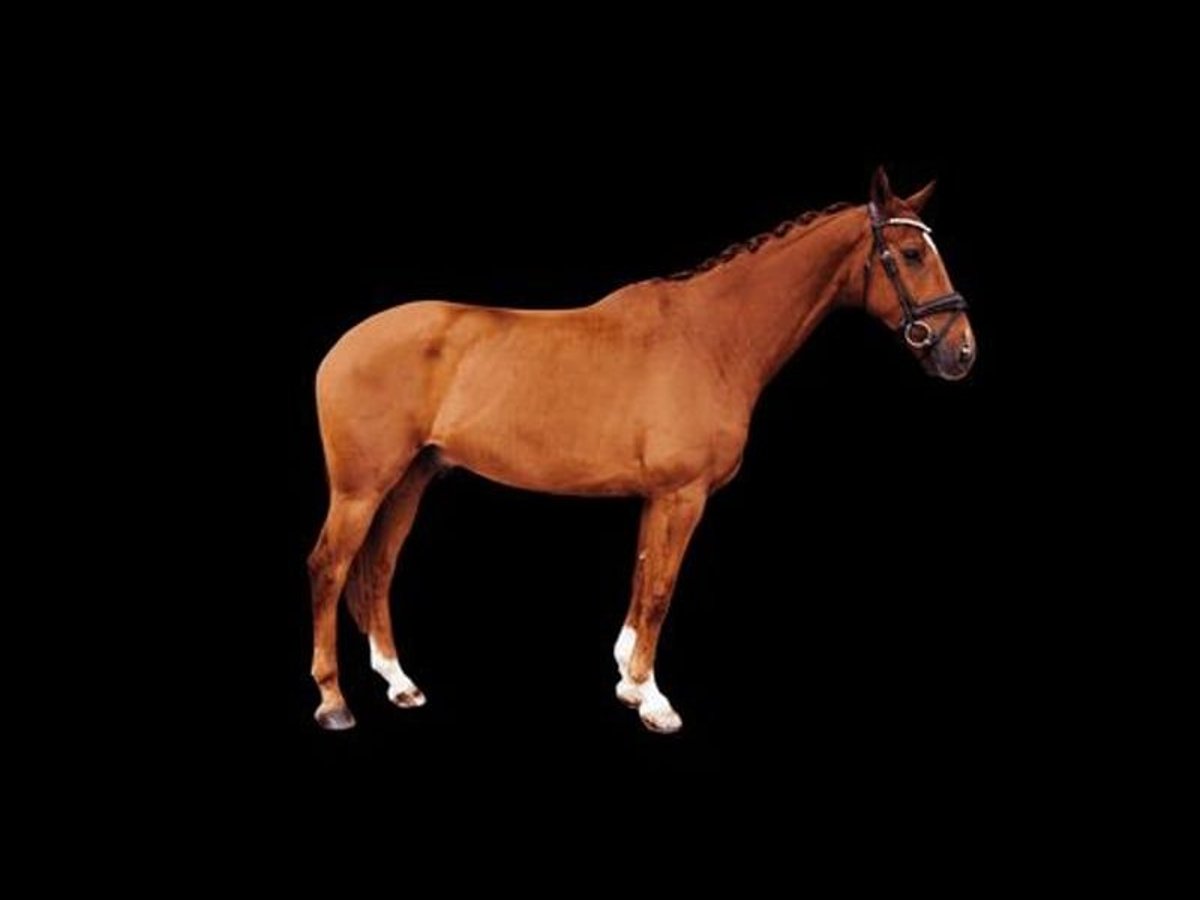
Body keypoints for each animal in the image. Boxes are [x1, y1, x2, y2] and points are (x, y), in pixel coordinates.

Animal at [307, 166, 976, 733]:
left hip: (410, 480)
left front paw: (630, 683)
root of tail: (342, 345)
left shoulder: (658, 497)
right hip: (361, 489)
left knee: (378, 570)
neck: (710, 338)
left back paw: (399, 684)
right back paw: (334, 702)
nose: (962, 352)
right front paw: (655, 701)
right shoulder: (683, 495)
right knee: (331, 567)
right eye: (912, 254)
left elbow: (642, 579)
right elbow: (660, 590)